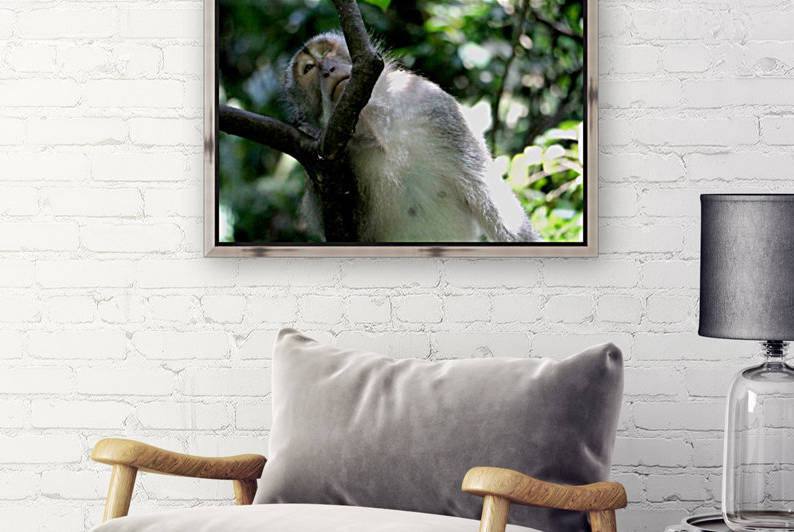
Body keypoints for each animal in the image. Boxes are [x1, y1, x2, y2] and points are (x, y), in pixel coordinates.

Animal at [283, 31, 541, 243]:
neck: (376, 122)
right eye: (309, 69)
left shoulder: (436, 108)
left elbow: (490, 197)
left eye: (327, 52)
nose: (327, 69)